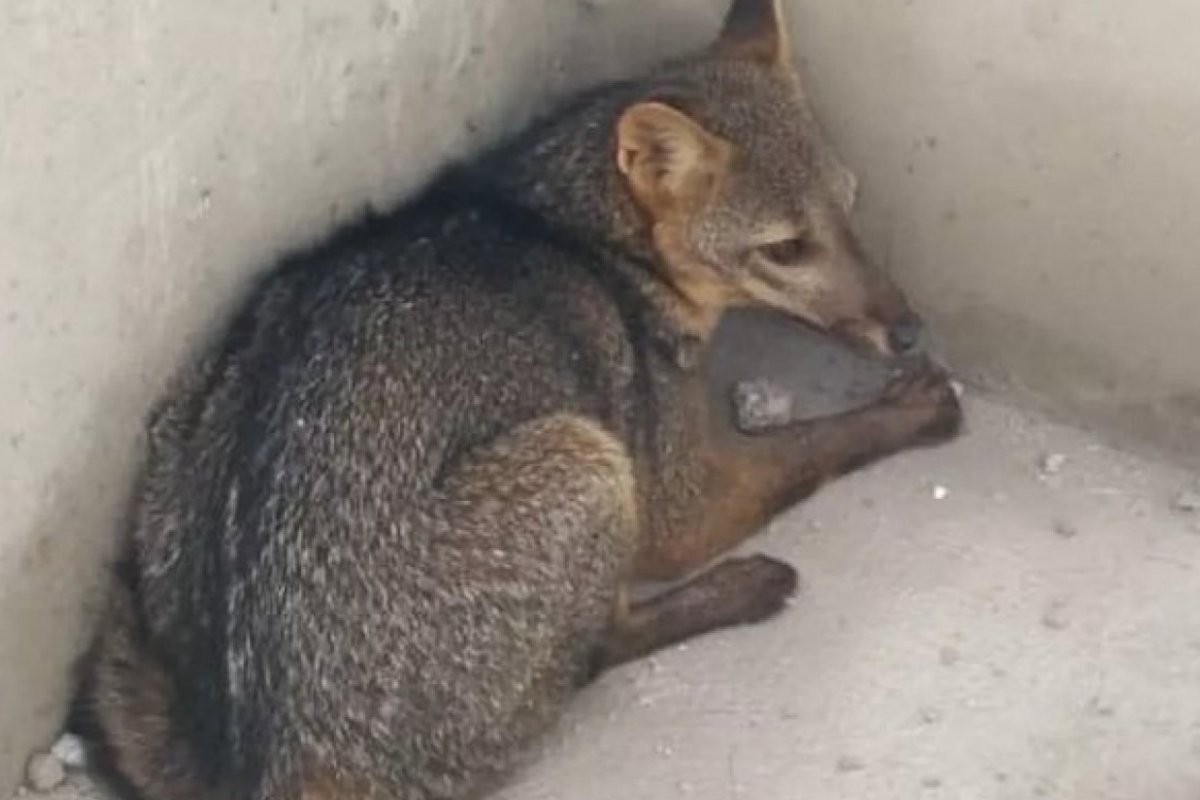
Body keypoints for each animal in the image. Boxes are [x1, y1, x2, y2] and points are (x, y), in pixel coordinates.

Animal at [80, 1, 963, 799]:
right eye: (785, 249)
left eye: (851, 204)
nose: (909, 329)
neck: (566, 222)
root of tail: (261, 755)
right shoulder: (682, 498)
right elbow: (814, 449)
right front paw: (913, 410)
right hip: (588, 460)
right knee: (598, 649)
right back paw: (742, 590)